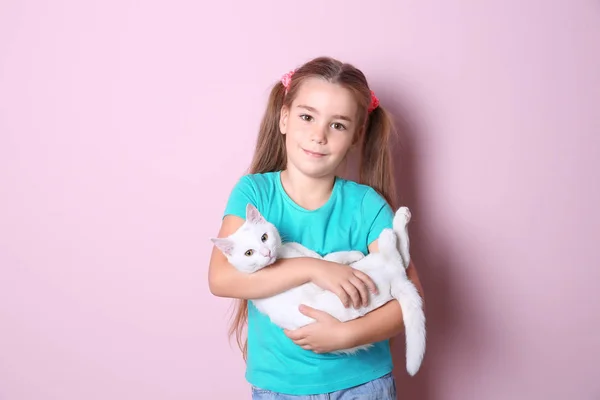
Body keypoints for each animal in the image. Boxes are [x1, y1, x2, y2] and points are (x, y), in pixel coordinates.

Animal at [213, 205, 424, 376]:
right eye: (249, 253)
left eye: (264, 237)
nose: (267, 253)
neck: (283, 257)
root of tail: (396, 280)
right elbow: (330, 261)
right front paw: (351, 255)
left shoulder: (299, 249)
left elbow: (316, 256)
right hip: (376, 268)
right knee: (397, 257)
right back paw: (390, 232)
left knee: (404, 259)